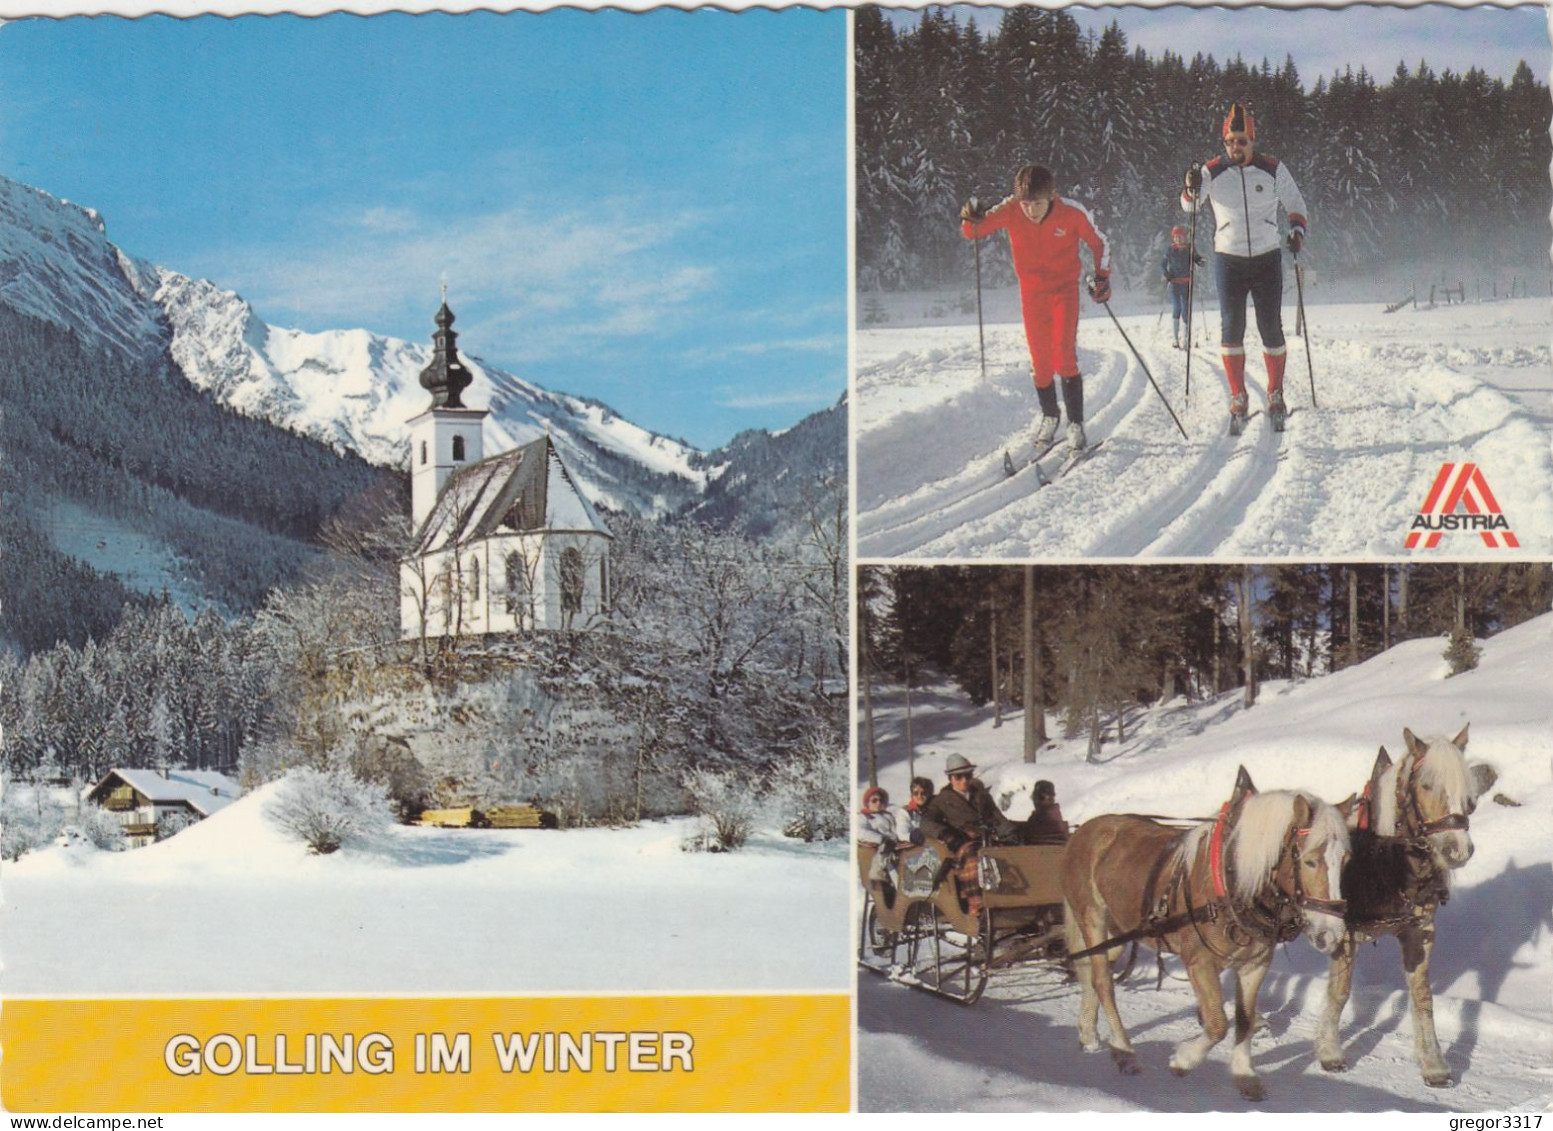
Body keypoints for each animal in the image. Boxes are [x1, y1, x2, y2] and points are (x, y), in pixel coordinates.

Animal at [1068, 773, 1348, 1099]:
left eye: (1345, 860)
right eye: (1310, 861)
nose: (1332, 933)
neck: (1232, 885)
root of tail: (1085, 830)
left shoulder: (1254, 966)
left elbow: (1244, 1020)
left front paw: (1244, 1074)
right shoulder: (1199, 963)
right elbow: (1217, 1024)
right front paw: (1183, 1060)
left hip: (1117, 932)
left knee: (1090, 975)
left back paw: (1088, 1034)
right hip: (1093, 919)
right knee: (1103, 984)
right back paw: (1124, 1052)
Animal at [1316, 723, 1484, 1087]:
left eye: (1469, 793)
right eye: (1426, 785)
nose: (1458, 850)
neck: (1384, 860)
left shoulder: (1419, 932)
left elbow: (1422, 997)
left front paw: (1434, 1064)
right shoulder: (1344, 936)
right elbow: (1339, 991)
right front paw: (1330, 1053)